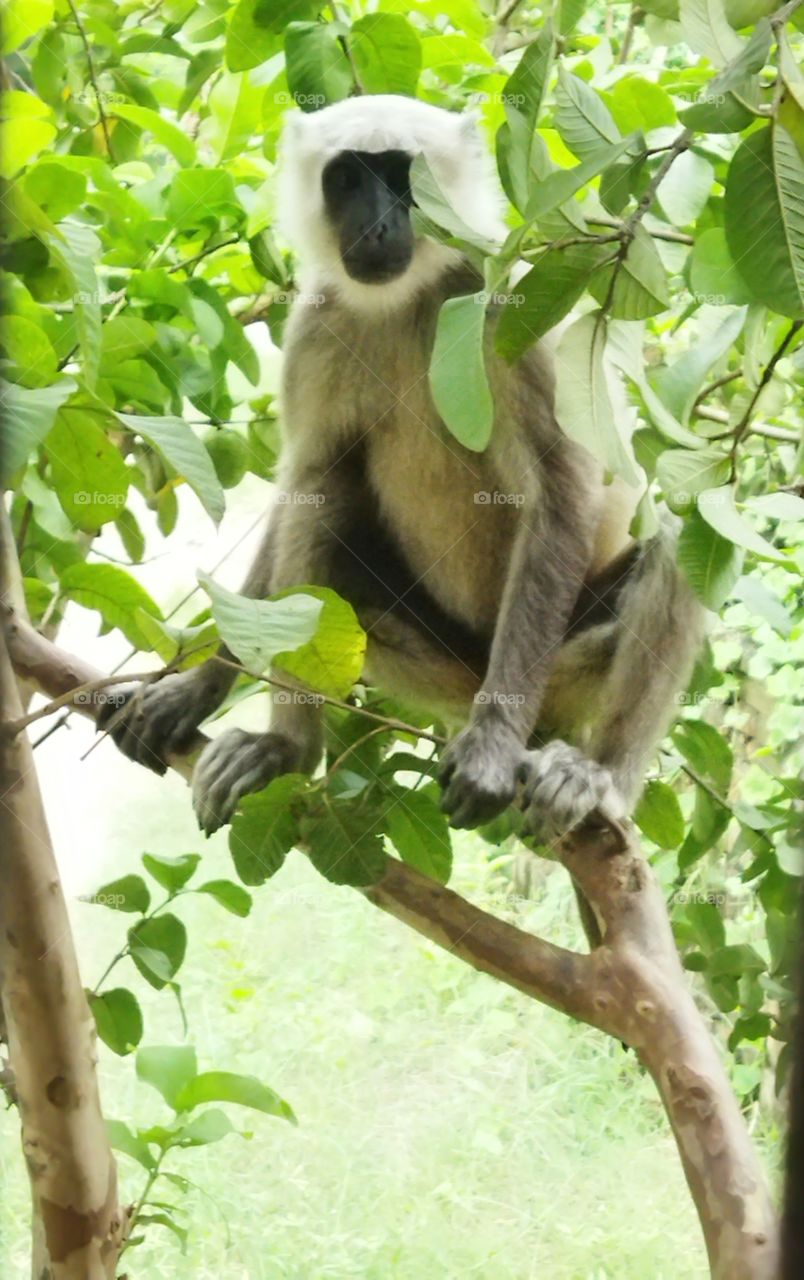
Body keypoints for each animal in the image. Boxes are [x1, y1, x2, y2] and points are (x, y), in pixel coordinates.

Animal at [101, 94, 705, 842]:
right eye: (347, 180)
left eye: (402, 178)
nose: (379, 223)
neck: (407, 300)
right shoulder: (316, 327)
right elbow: (304, 487)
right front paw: (199, 686)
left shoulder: (502, 302)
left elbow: (559, 488)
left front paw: (493, 749)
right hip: (435, 666)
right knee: (328, 513)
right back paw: (287, 749)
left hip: (558, 665)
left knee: (676, 543)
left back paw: (599, 776)